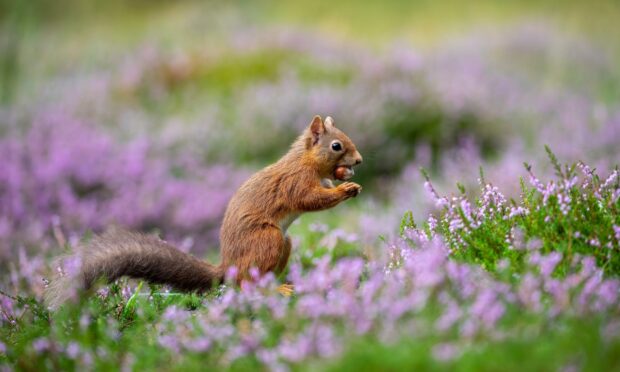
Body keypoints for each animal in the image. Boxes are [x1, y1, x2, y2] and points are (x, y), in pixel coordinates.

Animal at [47, 116, 364, 308]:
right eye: (336, 145)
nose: (359, 160)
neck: (305, 161)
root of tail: (226, 268)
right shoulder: (295, 183)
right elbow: (311, 199)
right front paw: (346, 189)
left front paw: (342, 180)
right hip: (267, 240)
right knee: (244, 284)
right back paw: (274, 291)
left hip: (283, 243)